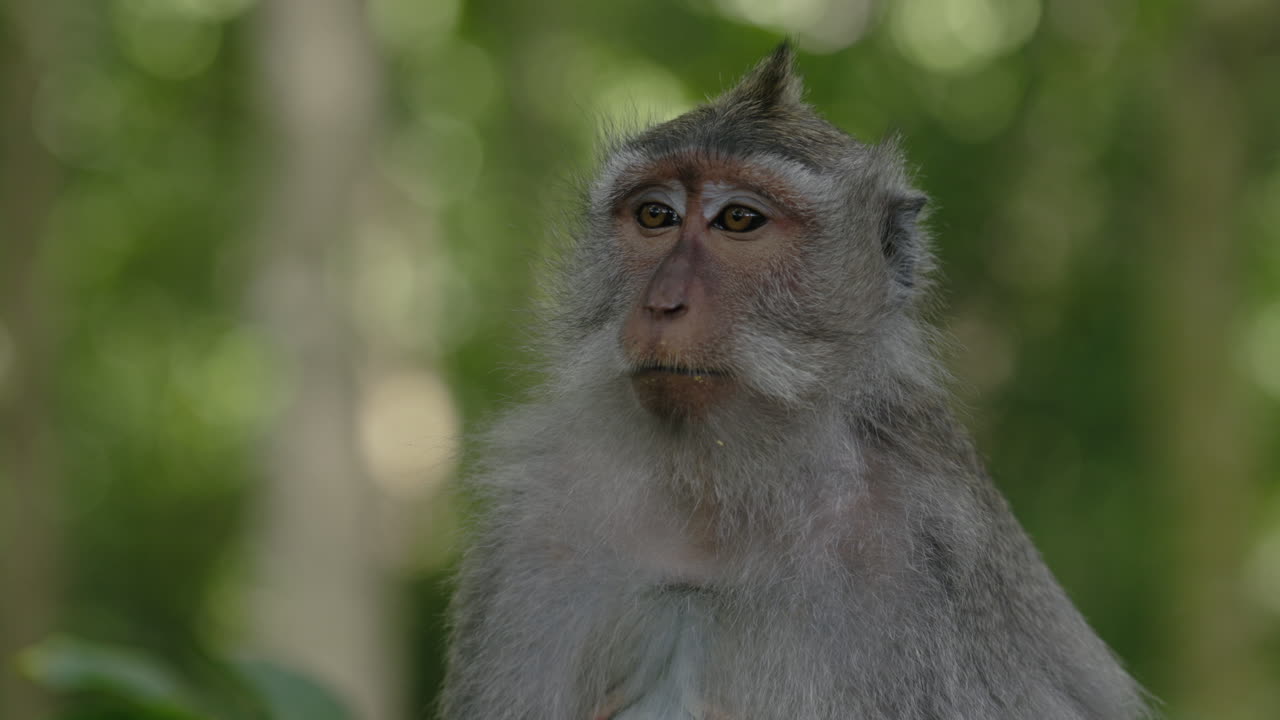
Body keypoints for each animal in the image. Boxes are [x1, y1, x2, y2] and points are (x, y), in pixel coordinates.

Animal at [440, 44, 1150, 720]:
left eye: (739, 220)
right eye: (655, 215)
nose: (663, 303)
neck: (718, 494)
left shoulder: (928, 556)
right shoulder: (534, 525)